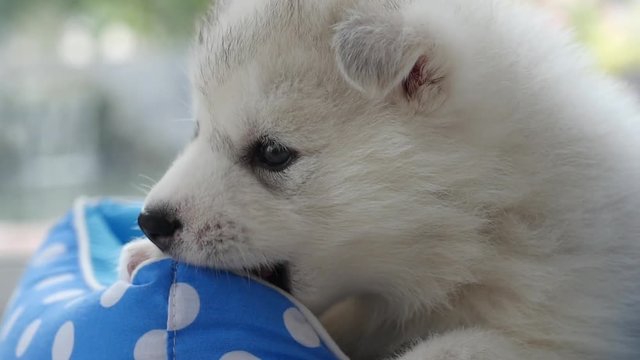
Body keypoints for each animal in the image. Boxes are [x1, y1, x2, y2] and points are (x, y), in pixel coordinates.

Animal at [120, 1, 640, 358]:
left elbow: (467, 345)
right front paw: (143, 255)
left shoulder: (571, 328)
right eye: (197, 131)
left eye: (272, 153)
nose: (150, 222)